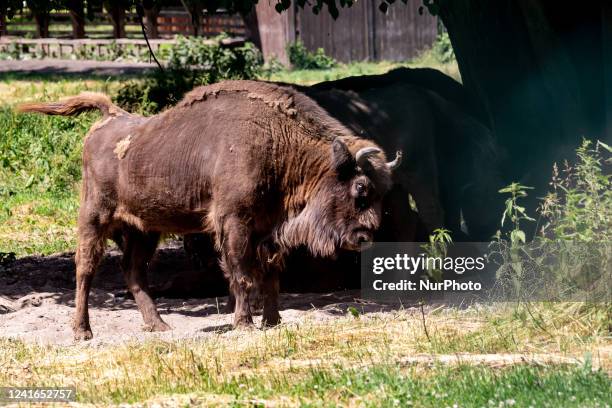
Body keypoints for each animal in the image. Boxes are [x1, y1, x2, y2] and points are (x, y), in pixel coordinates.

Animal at [17, 80, 402, 342]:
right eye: (360, 189)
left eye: (383, 193)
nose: (364, 237)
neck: (279, 141)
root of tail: (109, 118)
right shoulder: (234, 222)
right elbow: (242, 274)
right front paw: (244, 324)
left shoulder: (268, 229)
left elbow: (271, 275)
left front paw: (273, 321)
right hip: (94, 217)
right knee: (85, 268)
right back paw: (83, 331)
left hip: (145, 229)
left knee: (133, 271)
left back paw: (159, 326)